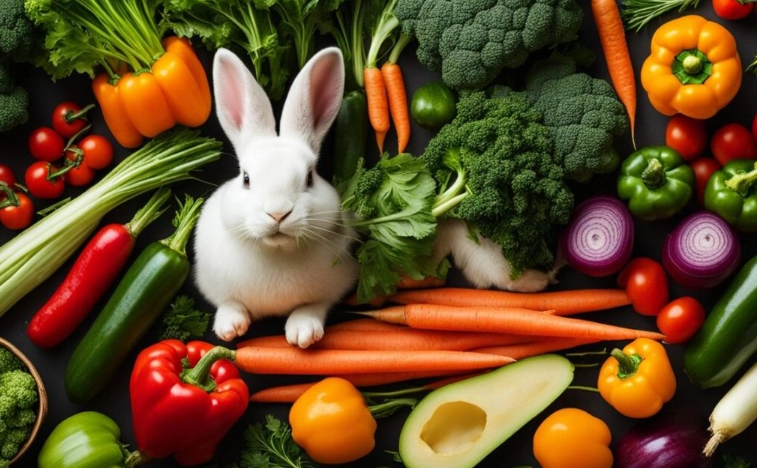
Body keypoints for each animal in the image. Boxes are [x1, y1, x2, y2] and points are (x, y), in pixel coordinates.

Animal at [193, 47, 359, 348]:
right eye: (246, 178)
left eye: (309, 178)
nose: (278, 212)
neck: (277, 251)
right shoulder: (214, 285)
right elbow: (229, 303)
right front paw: (229, 328)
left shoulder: (337, 283)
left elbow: (314, 306)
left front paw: (303, 333)